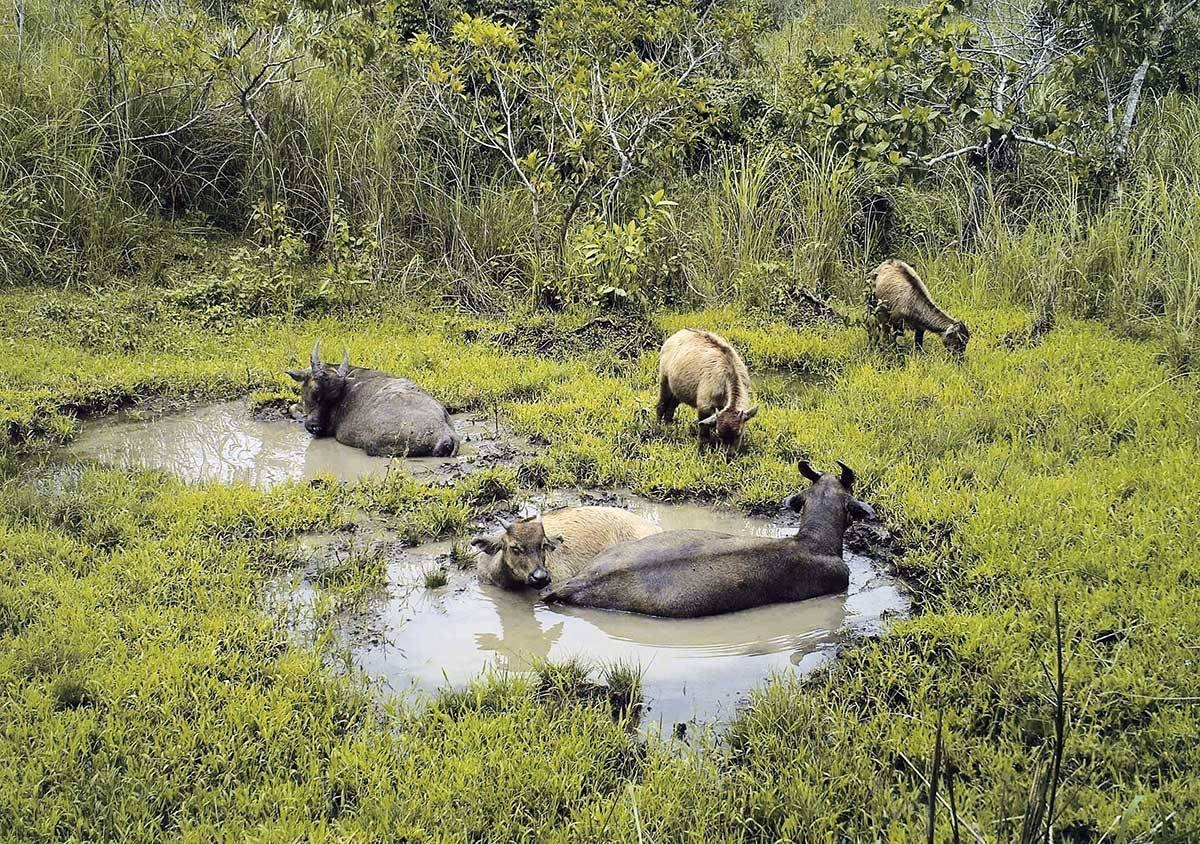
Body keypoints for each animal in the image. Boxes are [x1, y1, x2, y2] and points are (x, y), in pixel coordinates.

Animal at [657, 328, 758, 456]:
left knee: (670, 408)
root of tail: (677, 334)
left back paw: (668, 426)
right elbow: (704, 434)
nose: (728, 455)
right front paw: (702, 451)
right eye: (719, 434)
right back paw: (657, 426)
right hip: (664, 382)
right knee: (661, 405)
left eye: (738, 434)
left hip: (677, 392)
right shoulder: (704, 406)